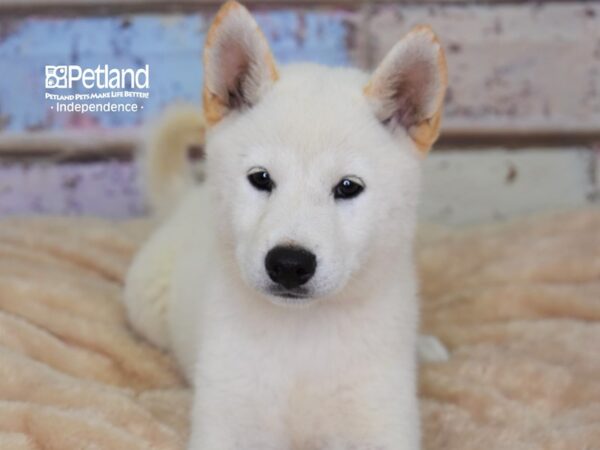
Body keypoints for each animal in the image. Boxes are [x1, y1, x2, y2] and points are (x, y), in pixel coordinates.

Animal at [124, 1, 448, 448]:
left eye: (348, 187)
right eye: (261, 179)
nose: (290, 265)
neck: (301, 335)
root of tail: (186, 200)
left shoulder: (383, 422)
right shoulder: (228, 419)